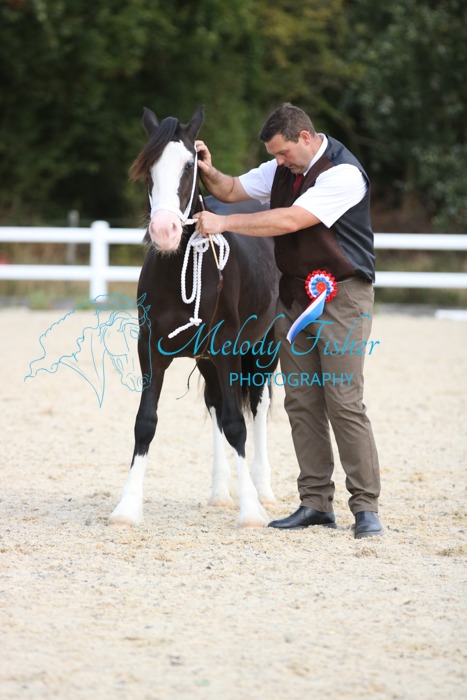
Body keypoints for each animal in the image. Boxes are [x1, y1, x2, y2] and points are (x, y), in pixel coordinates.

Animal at [109, 106, 280, 528]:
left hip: (265, 348)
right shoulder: (151, 350)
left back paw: (263, 491)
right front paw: (127, 507)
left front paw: (250, 510)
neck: (183, 270)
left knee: (259, 407)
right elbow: (145, 422)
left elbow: (238, 424)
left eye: (190, 164)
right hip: (207, 361)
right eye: (148, 167)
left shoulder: (227, 350)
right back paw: (220, 492)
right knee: (217, 404)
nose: (165, 230)